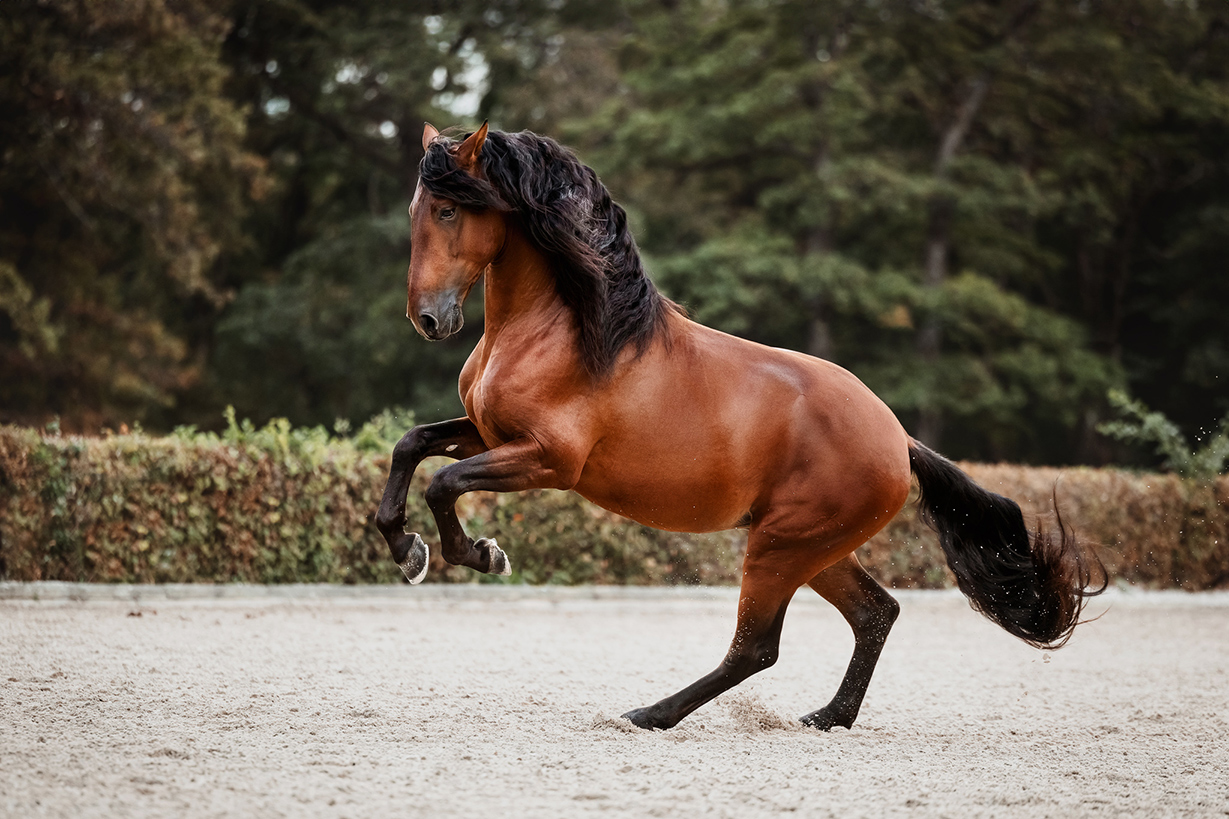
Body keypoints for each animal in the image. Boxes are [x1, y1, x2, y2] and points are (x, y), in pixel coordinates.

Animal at [375, 122, 1105, 731]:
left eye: (448, 210)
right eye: (415, 211)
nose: (429, 319)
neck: (564, 328)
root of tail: (896, 440)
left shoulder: (548, 460)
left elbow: (443, 481)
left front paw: (477, 553)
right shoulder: (491, 433)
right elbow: (411, 446)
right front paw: (405, 547)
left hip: (781, 547)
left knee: (756, 647)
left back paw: (651, 714)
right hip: (812, 548)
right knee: (876, 614)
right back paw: (827, 718)